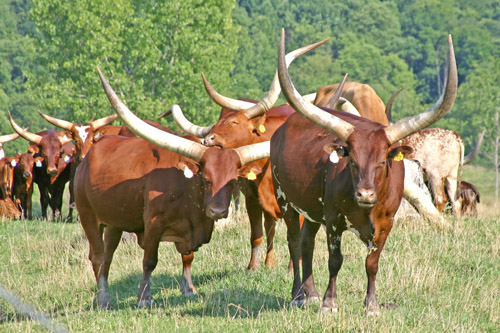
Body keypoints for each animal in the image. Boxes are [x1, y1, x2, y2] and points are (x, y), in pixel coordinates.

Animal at [73, 68, 272, 308]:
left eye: (233, 181)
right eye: (205, 179)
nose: (217, 211)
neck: (187, 189)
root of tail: (88, 157)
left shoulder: (189, 227)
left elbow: (188, 257)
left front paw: (188, 288)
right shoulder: (153, 223)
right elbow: (149, 261)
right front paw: (144, 297)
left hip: (114, 221)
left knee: (108, 255)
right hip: (88, 215)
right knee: (98, 255)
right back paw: (103, 298)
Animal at [270, 29, 458, 314]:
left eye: (382, 162)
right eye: (352, 161)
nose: (365, 195)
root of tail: (282, 127)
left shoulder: (386, 224)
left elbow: (372, 264)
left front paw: (371, 305)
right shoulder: (333, 220)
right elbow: (335, 260)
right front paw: (329, 303)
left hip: (312, 208)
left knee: (306, 242)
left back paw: (310, 293)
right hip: (285, 199)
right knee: (293, 241)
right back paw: (297, 295)